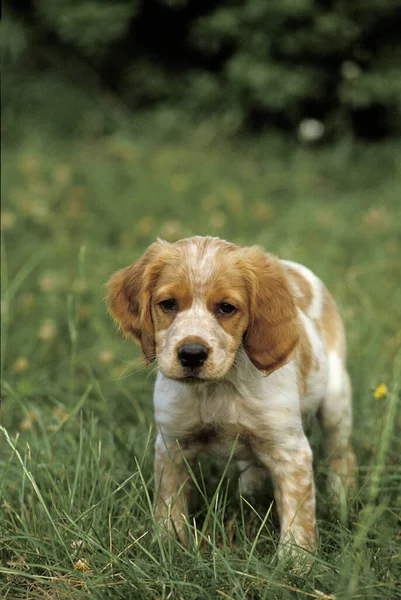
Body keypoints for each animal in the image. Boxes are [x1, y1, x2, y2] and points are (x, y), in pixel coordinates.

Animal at [107, 236, 356, 552]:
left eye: (226, 308)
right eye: (168, 304)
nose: (191, 354)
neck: (219, 388)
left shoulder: (291, 451)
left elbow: (298, 517)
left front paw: (296, 560)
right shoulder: (172, 443)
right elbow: (169, 504)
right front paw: (169, 546)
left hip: (335, 402)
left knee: (342, 455)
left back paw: (341, 501)